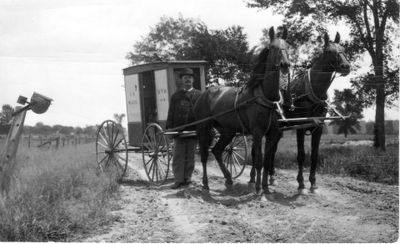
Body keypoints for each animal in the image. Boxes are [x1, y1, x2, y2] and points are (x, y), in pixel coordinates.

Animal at [194, 26, 290, 194]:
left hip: (228, 131)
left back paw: (228, 178)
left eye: (288, 45)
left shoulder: (272, 133)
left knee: (217, 151)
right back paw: (205, 184)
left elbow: (267, 160)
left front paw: (266, 187)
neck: (268, 98)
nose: (285, 64)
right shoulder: (257, 132)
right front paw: (257, 188)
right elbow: (258, 160)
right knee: (205, 155)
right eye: (273, 47)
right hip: (204, 128)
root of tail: (204, 93)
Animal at [255, 31, 352, 194]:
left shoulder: (318, 127)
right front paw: (301, 184)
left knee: (273, 150)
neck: (312, 92)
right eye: (329, 51)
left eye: (343, 48)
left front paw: (313, 183)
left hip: (278, 129)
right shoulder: (300, 127)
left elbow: (314, 156)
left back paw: (272, 177)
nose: (346, 66)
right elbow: (301, 155)